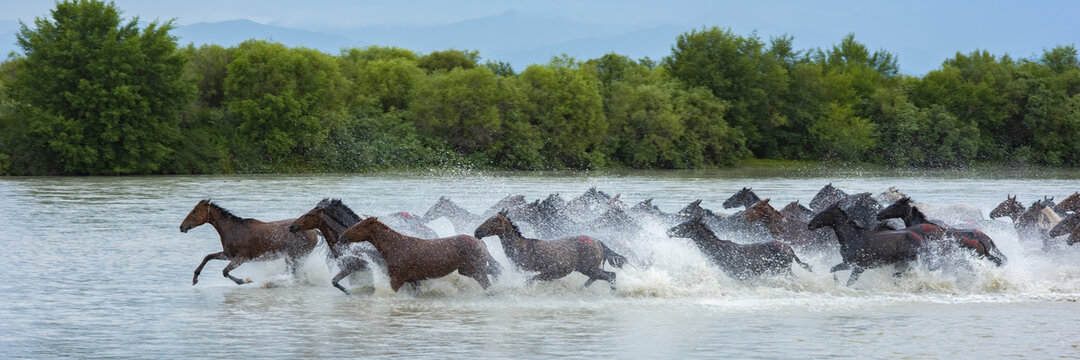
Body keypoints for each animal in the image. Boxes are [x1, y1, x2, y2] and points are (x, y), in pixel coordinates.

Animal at [177, 197, 317, 285]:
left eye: (195, 211)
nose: (181, 227)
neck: (232, 229)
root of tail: (315, 231)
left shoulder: (242, 257)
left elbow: (225, 271)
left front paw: (245, 280)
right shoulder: (229, 254)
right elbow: (208, 257)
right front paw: (195, 278)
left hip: (295, 255)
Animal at [336, 216, 501, 291]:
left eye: (359, 227)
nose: (342, 236)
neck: (394, 247)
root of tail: (481, 243)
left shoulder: (397, 279)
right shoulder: (414, 280)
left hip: (476, 270)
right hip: (466, 270)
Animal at [470, 210, 626, 289]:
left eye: (494, 220)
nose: (477, 232)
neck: (520, 248)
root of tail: (598, 242)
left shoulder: (536, 273)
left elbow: (528, 282)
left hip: (589, 268)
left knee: (611, 276)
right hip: (587, 268)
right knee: (599, 278)